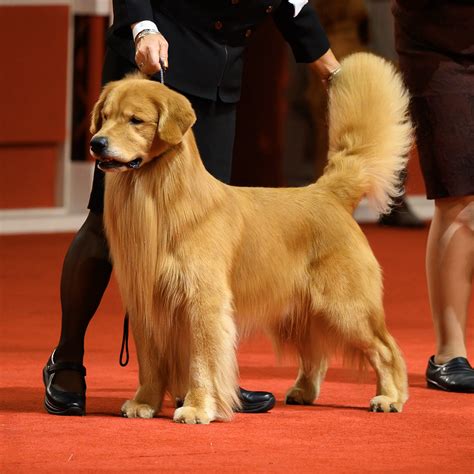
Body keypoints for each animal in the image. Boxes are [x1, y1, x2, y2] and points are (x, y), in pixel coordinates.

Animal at [90, 52, 412, 426]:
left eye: (136, 120)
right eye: (105, 117)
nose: (96, 143)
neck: (161, 199)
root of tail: (327, 192)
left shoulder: (202, 301)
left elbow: (202, 362)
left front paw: (197, 407)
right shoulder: (145, 304)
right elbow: (151, 363)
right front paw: (145, 402)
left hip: (346, 306)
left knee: (386, 349)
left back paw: (390, 397)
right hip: (298, 310)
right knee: (316, 352)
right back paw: (303, 391)